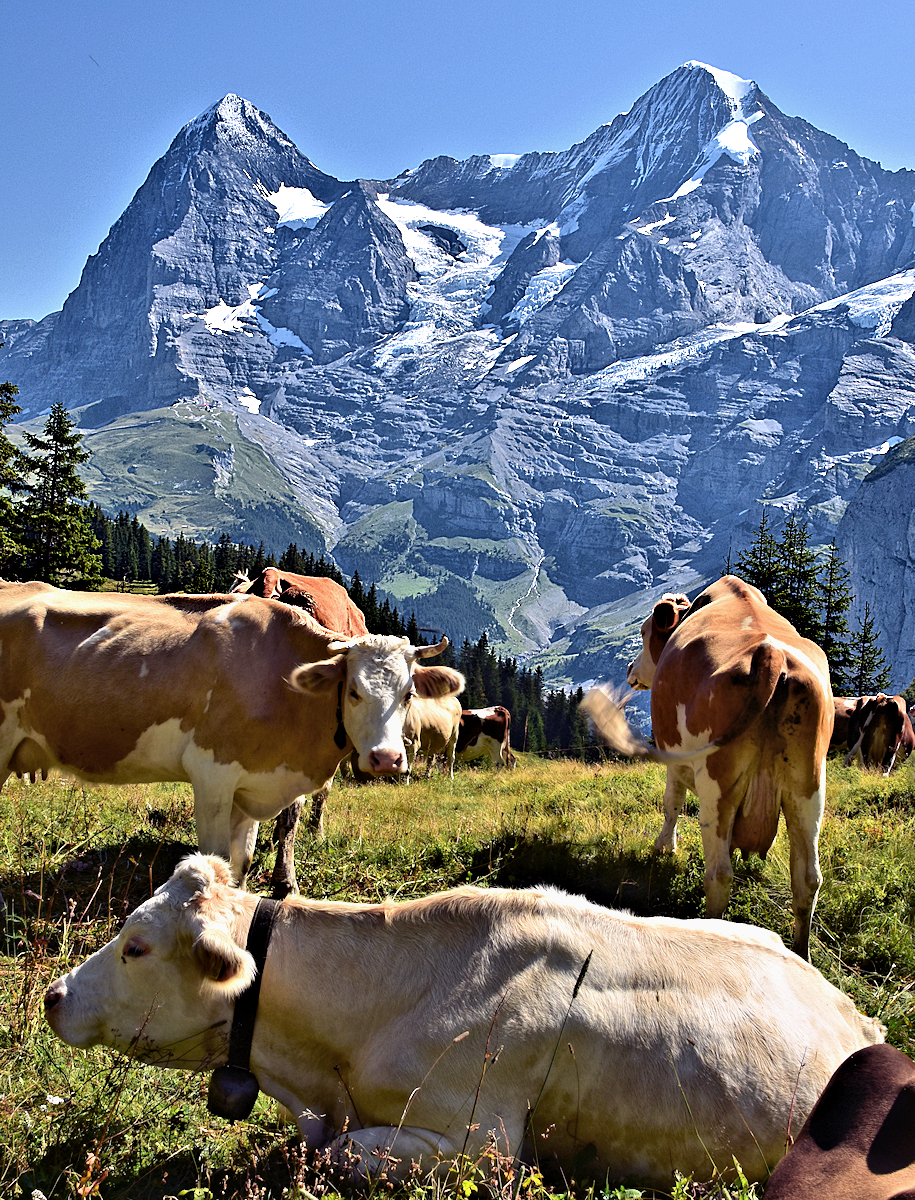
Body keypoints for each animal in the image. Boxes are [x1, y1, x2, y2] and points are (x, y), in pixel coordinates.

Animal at [583, 576, 835, 960]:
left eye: (643, 633)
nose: (629, 669)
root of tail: (771, 655)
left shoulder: (673, 756)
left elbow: (671, 803)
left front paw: (664, 848)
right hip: (808, 787)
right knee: (807, 877)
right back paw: (801, 952)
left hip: (717, 784)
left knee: (718, 874)